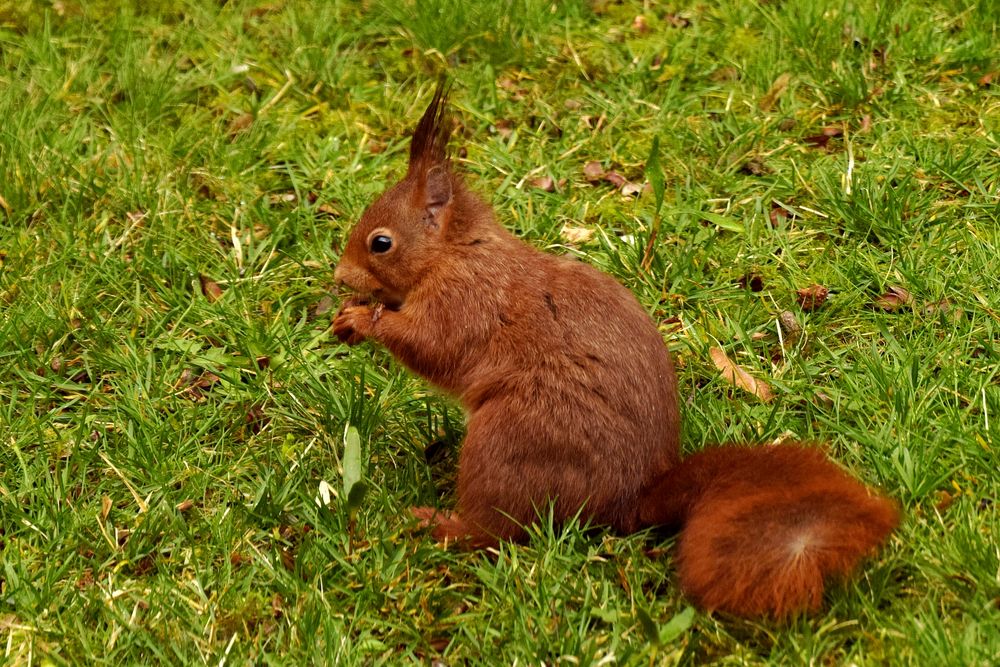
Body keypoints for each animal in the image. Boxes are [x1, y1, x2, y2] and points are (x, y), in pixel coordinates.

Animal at [330, 83, 900, 620]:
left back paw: (438, 525)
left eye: (381, 243)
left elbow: (432, 346)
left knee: (496, 530)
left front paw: (363, 320)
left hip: (509, 441)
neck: (454, 252)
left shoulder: (465, 301)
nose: (339, 277)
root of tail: (627, 500)